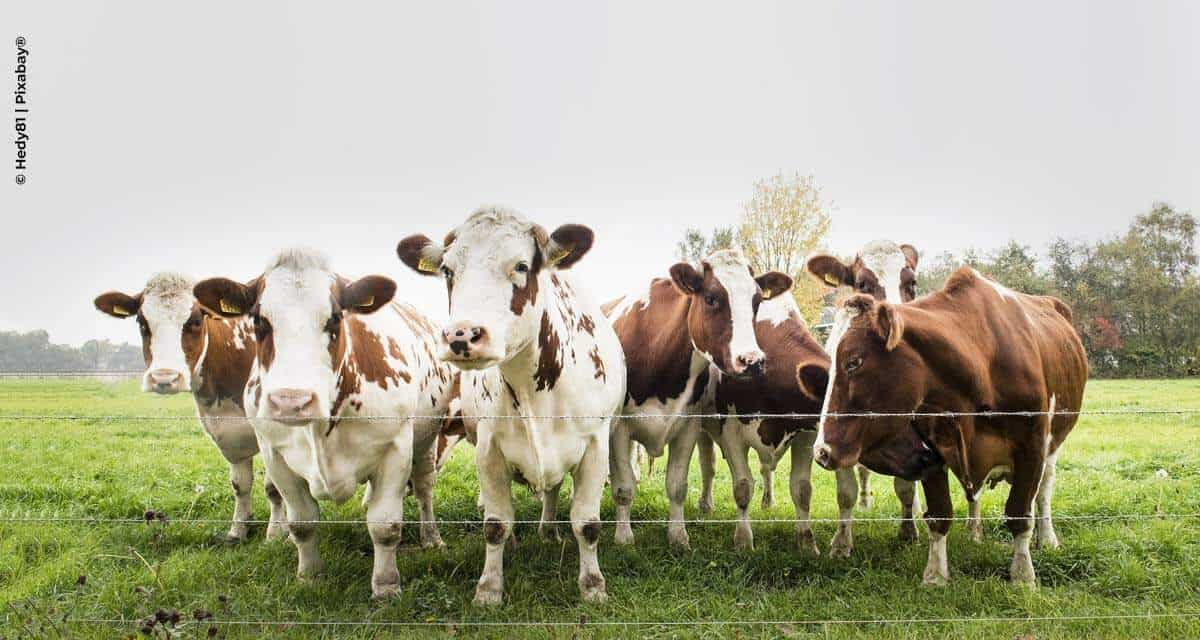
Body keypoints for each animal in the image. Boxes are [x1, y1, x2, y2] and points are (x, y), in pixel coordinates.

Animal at [94, 272, 285, 540]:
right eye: (141, 321)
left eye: (194, 320)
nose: (164, 378)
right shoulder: (228, 433)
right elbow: (240, 486)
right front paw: (237, 531)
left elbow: (274, 488)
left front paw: (276, 534)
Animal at [192, 249, 458, 597]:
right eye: (259, 320)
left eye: (334, 319)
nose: (292, 401)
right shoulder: (275, 454)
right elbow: (302, 522)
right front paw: (309, 575)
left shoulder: (396, 447)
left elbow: (385, 526)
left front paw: (386, 585)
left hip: (427, 440)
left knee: (425, 488)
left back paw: (432, 538)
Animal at [400, 204, 633, 602]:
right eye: (447, 270)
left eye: (522, 266)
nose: (462, 335)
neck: (533, 389)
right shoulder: (489, 448)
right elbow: (495, 523)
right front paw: (489, 588)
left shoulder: (594, 446)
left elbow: (587, 524)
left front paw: (592, 585)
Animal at [604, 249, 792, 549]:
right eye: (711, 298)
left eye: (757, 301)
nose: (752, 361)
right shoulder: (619, 428)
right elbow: (623, 486)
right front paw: (623, 537)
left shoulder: (689, 425)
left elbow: (677, 486)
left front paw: (678, 536)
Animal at [816, 266, 1089, 585]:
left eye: (854, 362)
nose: (821, 451)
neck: (980, 363)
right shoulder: (931, 450)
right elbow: (939, 514)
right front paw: (935, 575)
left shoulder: (1032, 446)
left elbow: (1020, 513)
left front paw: (1023, 574)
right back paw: (974, 530)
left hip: (1053, 446)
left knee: (1044, 491)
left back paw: (1046, 538)